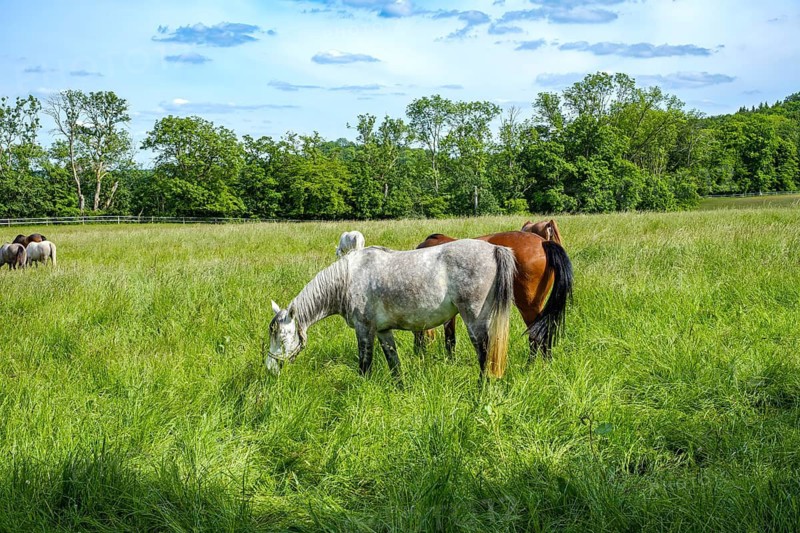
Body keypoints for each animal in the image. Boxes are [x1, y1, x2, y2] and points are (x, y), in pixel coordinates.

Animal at [268, 239, 517, 380]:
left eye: (282, 337)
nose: (270, 369)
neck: (348, 278)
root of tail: (494, 249)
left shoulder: (364, 330)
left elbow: (364, 365)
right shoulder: (383, 331)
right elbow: (394, 364)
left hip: (474, 321)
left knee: (484, 357)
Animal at [414, 231, 572, 360]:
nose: (417, 353)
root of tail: (543, 242)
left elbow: (449, 338)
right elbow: (450, 338)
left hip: (528, 307)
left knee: (537, 337)